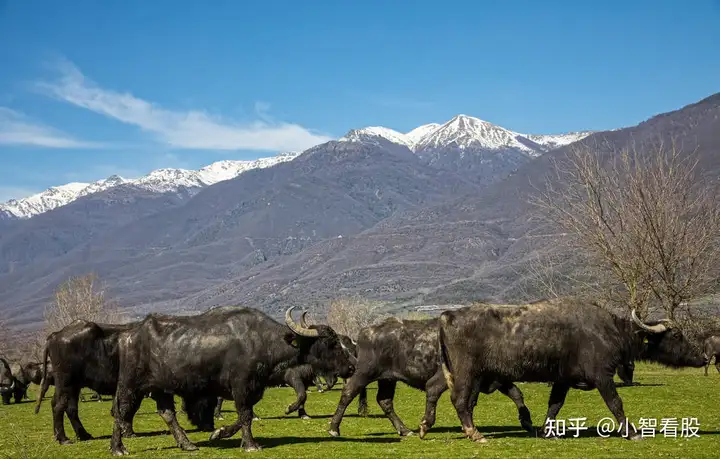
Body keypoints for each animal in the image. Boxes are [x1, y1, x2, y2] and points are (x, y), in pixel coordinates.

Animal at [110, 306, 358, 456]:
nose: (352, 366)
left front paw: (219, 433)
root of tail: (129, 335)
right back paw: (117, 448)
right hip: (130, 386)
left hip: (161, 389)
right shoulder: (242, 386)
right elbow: (246, 416)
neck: (262, 342)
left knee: (167, 414)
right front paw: (250, 444)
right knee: (120, 413)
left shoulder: (252, 389)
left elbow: (243, 416)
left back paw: (187, 443)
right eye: (331, 343)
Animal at [330, 316, 532, 438]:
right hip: (364, 373)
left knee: (385, 401)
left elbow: (516, 394)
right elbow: (464, 400)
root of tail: (366, 331)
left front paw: (527, 421)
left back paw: (404, 430)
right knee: (348, 393)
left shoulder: (496, 379)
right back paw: (334, 428)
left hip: (388, 379)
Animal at [436, 300, 704, 444]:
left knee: (468, 403)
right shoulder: (602, 377)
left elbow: (555, 405)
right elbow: (616, 403)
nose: (702, 357)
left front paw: (547, 432)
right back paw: (476, 434)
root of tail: (447, 315)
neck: (610, 331)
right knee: (460, 401)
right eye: (677, 335)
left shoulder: (562, 380)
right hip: (466, 374)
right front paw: (632, 433)